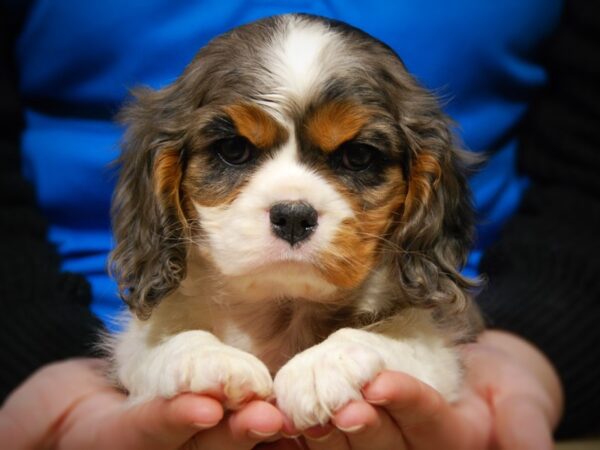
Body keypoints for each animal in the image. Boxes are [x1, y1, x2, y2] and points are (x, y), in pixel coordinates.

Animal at [109, 13, 482, 428]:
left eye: (357, 156)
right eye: (233, 150)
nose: (292, 216)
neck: (282, 302)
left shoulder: (441, 352)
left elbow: (392, 334)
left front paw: (321, 366)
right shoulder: (133, 344)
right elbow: (160, 339)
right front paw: (209, 357)